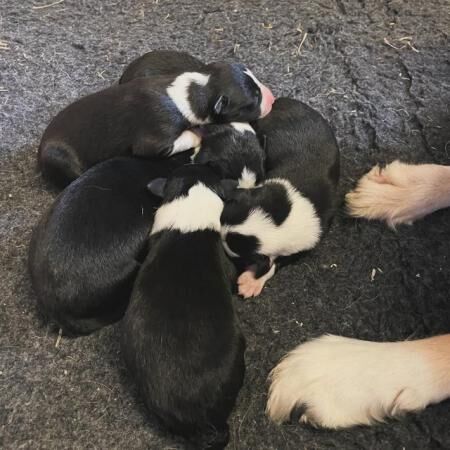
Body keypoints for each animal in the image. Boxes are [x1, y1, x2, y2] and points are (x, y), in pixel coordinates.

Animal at [38, 60, 272, 187]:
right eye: (254, 99)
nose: (271, 97)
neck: (195, 90)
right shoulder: (157, 138)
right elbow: (180, 139)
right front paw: (196, 134)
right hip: (60, 158)